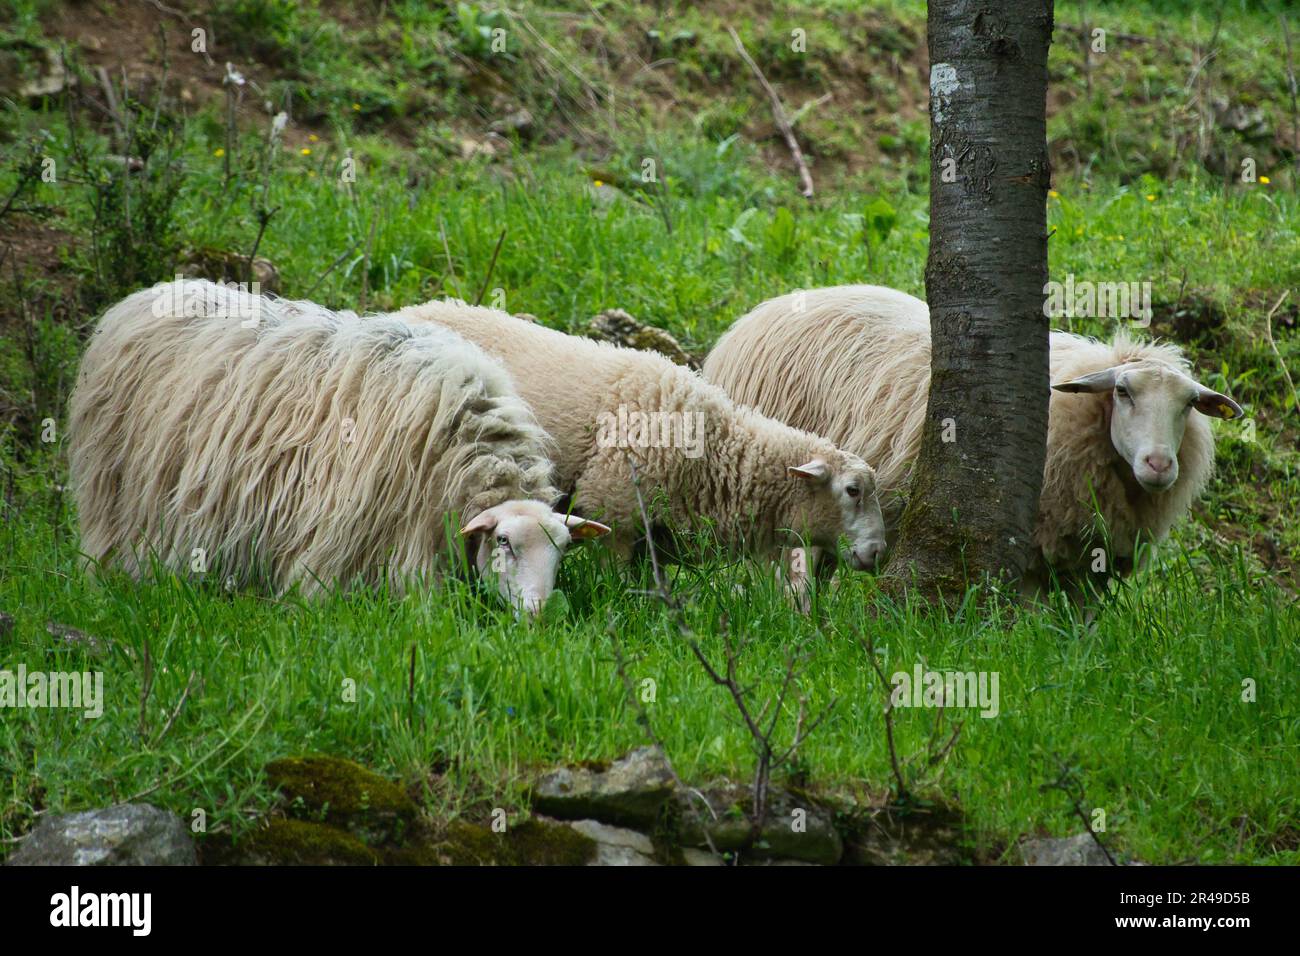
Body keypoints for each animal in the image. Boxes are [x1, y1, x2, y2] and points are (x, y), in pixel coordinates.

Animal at [703, 284, 1244, 587]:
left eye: (1188, 405)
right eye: (1124, 392)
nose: (1159, 465)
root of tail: (747, 322)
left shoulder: (1090, 565)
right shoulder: (1032, 550)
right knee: (795, 578)